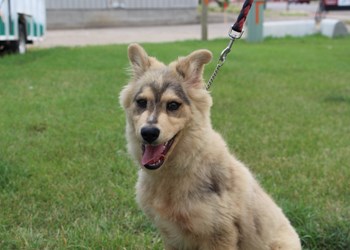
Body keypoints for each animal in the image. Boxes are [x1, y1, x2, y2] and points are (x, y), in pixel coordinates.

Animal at [119, 44, 300, 249]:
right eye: (141, 102)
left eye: (173, 105)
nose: (148, 132)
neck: (188, 164)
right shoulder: (171, 236)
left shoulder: (220, 234)